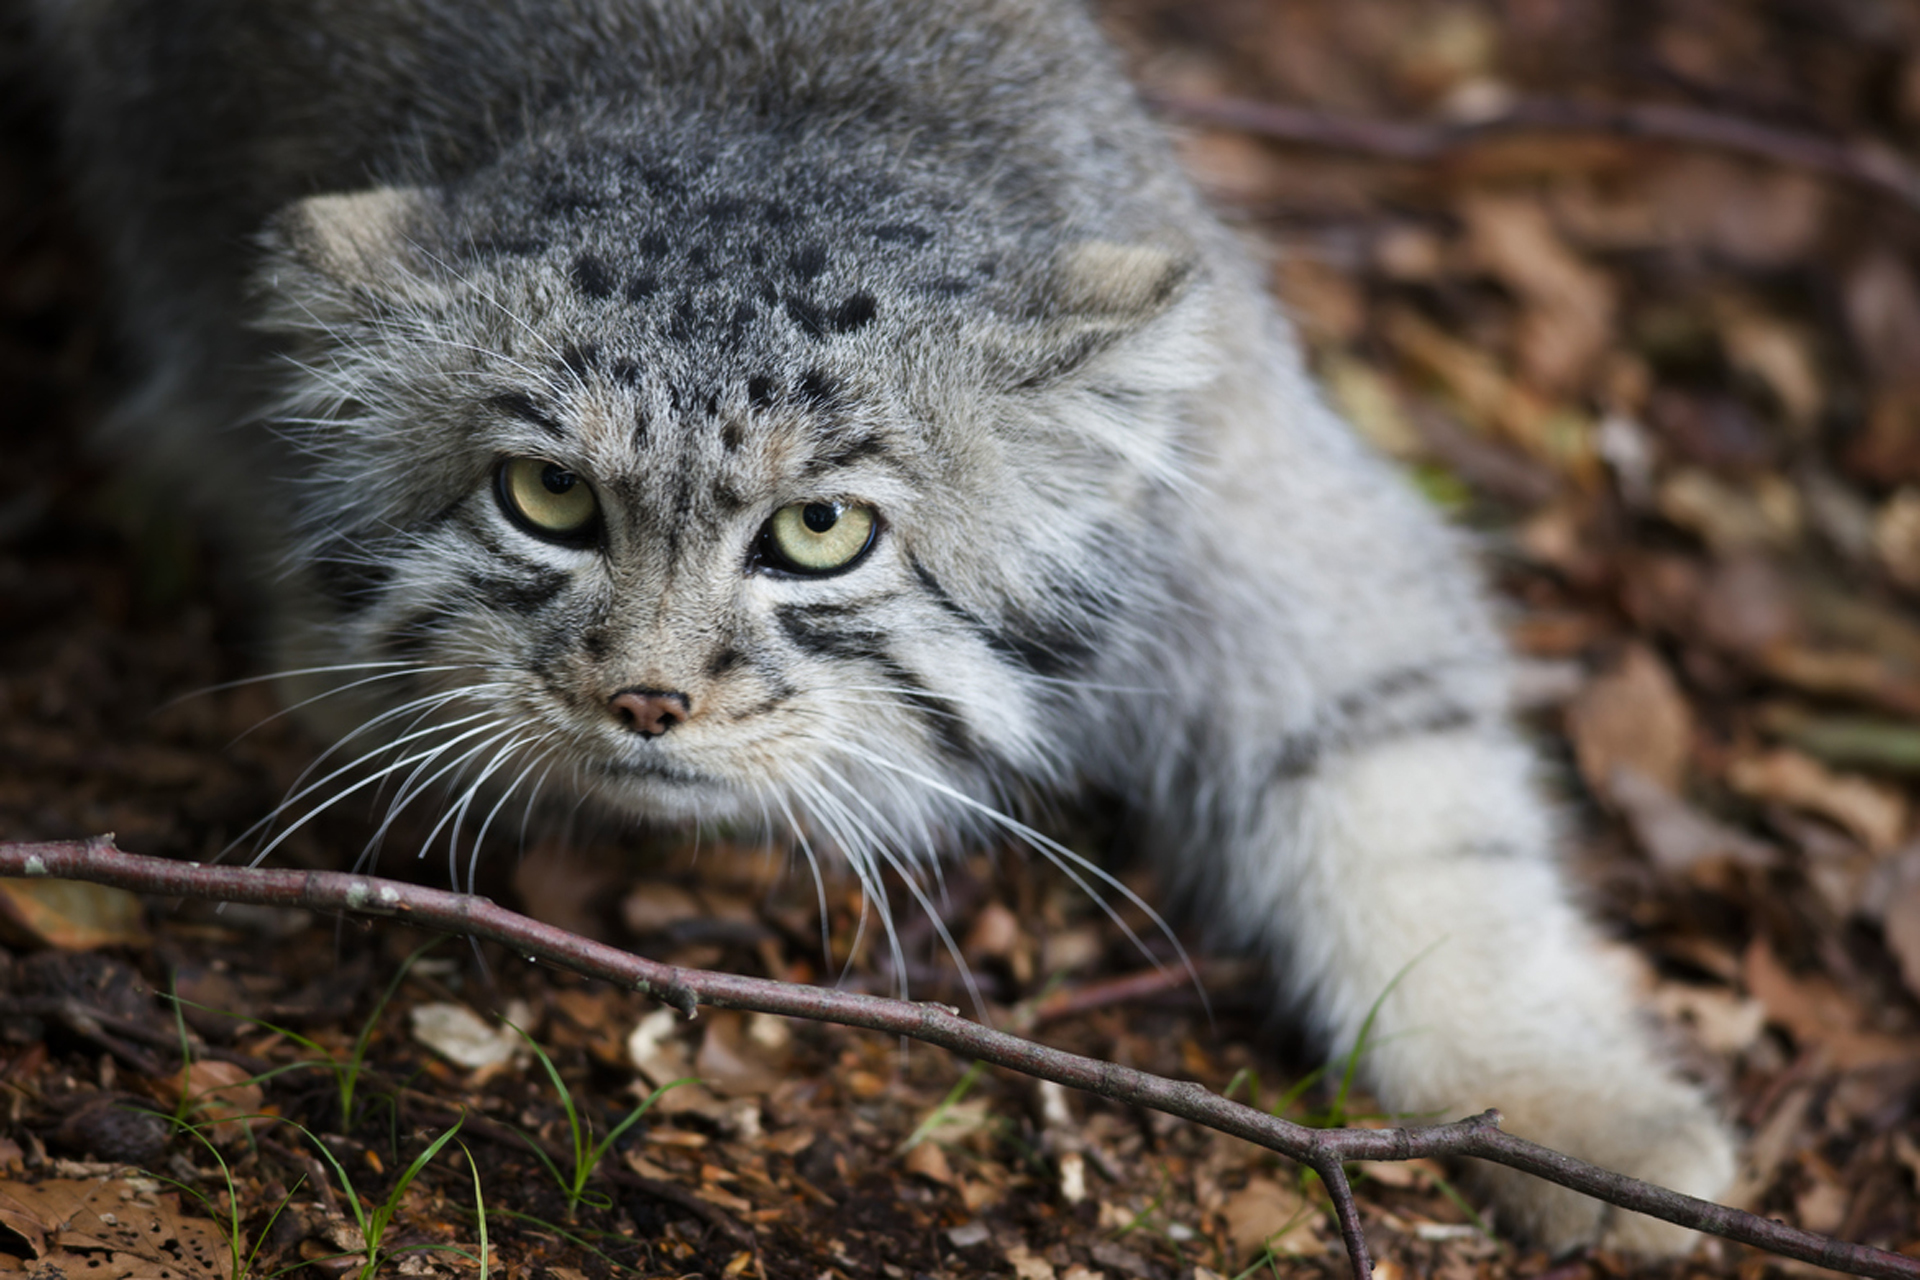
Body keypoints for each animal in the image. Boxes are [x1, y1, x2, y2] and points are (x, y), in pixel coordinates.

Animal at [30, 0, 1743, 1251]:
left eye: (820, 532)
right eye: (548, 499)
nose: (645, 702)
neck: (750, 109)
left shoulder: (1284, 533)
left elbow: (1428, 819)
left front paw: (1576, 1114)